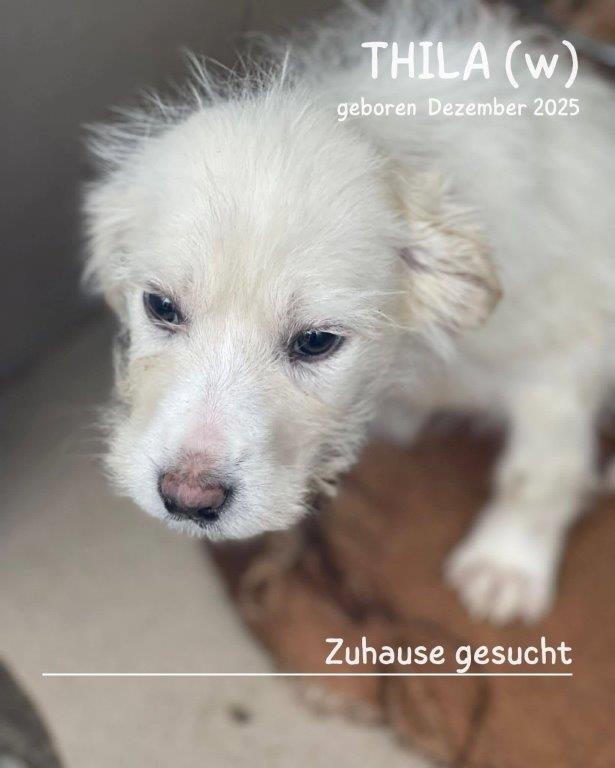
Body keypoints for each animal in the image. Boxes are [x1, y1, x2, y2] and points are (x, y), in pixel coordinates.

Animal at [84, 0, 614, 624]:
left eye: (317, 341)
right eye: (161, 306)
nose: (188, 499)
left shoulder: (563, 358)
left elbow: (538, 473)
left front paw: (506, 563)